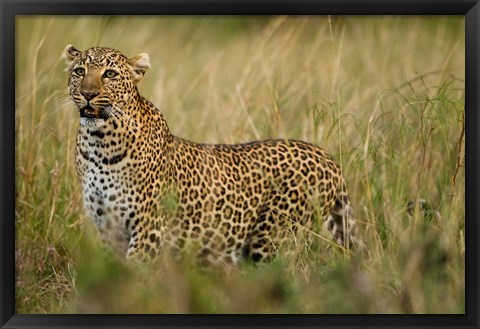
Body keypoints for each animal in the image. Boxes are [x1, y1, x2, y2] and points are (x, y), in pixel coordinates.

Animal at [63, 44, 358, 264]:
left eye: (110, 74)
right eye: (79, 71)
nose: (87, 94)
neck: (99, 146)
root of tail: (327, 157)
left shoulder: (148, 229)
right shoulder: (106, 230)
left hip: (273, 238)